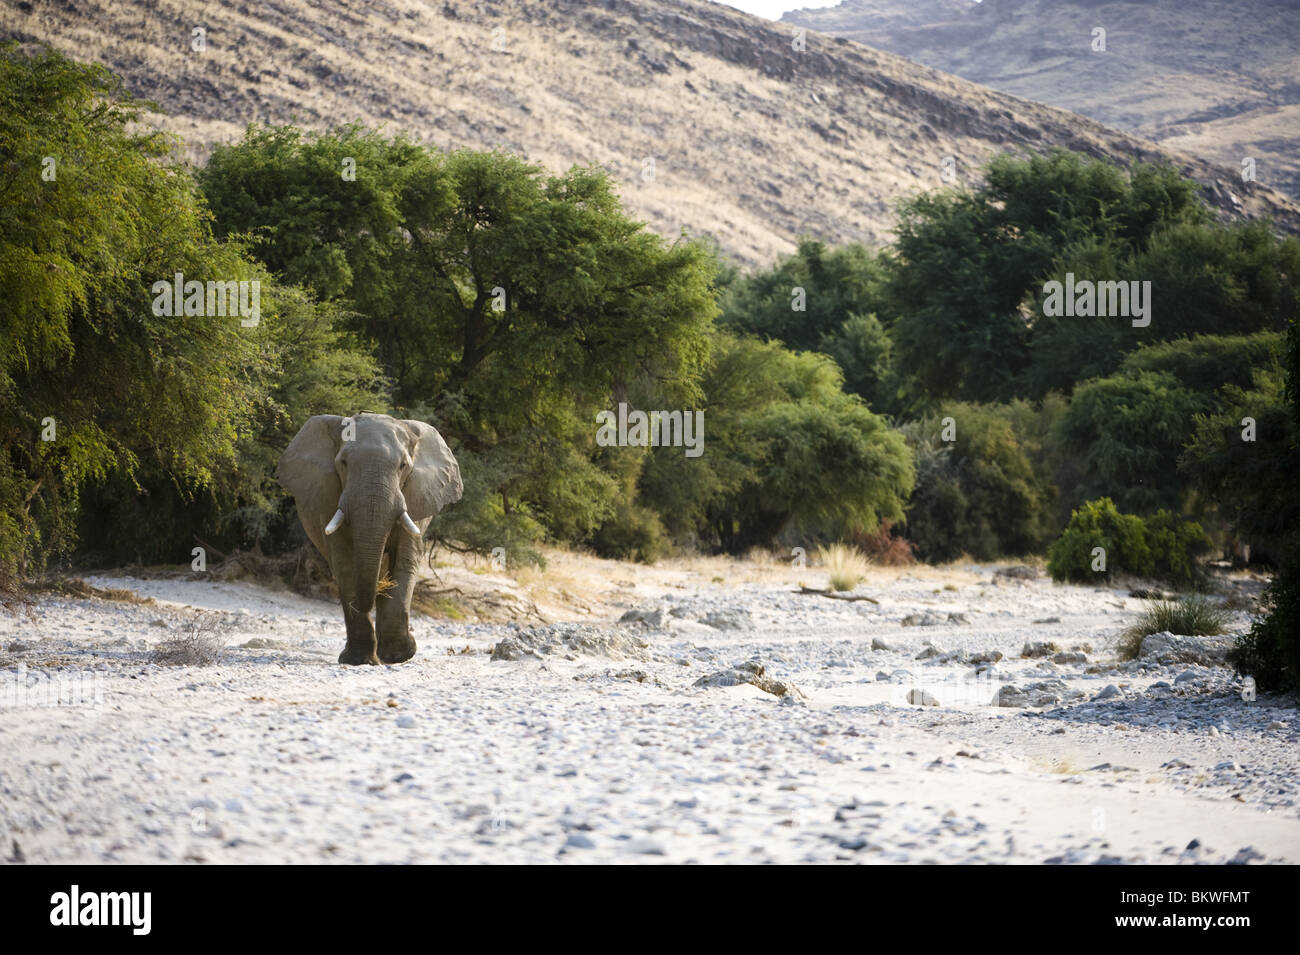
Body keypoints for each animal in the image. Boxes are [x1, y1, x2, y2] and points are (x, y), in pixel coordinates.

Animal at [277, 413, 463, 665]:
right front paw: (358, 660)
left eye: (403, 466)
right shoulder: (329, 497)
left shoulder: (414, 500)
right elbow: (345, 565)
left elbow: (405, 560)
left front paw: (399, 655)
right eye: (343, 463)